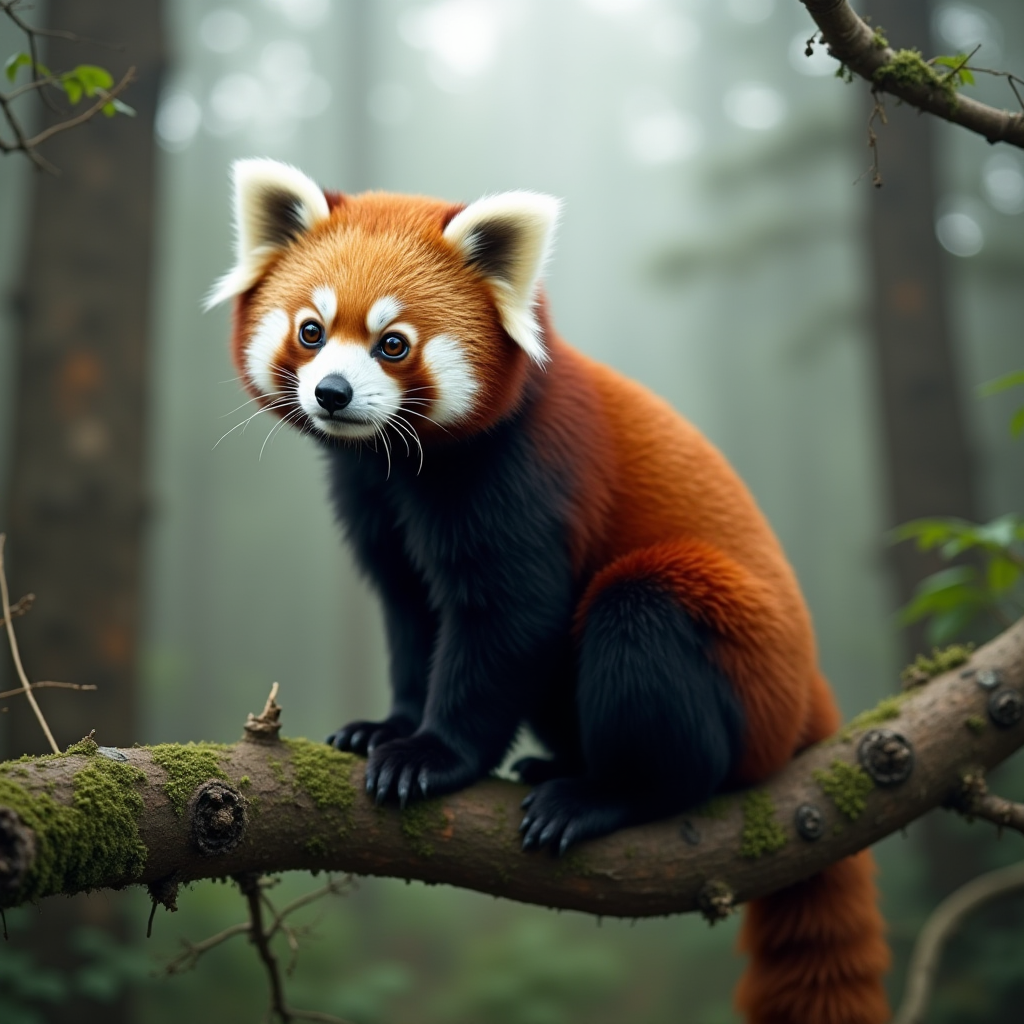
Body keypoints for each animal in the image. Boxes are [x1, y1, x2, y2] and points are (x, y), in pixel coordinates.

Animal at [207, 159, 888, 1024]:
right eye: (311, 331)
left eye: (393, 344)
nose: (331, 392)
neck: (408, 465)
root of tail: (811, 690)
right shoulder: (374, 500)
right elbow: (412, 615)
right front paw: (387, 726)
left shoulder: (527, 475)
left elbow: (507, 621)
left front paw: (432, 754)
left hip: (730, 655)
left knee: (641, 622)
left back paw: (605, 793)